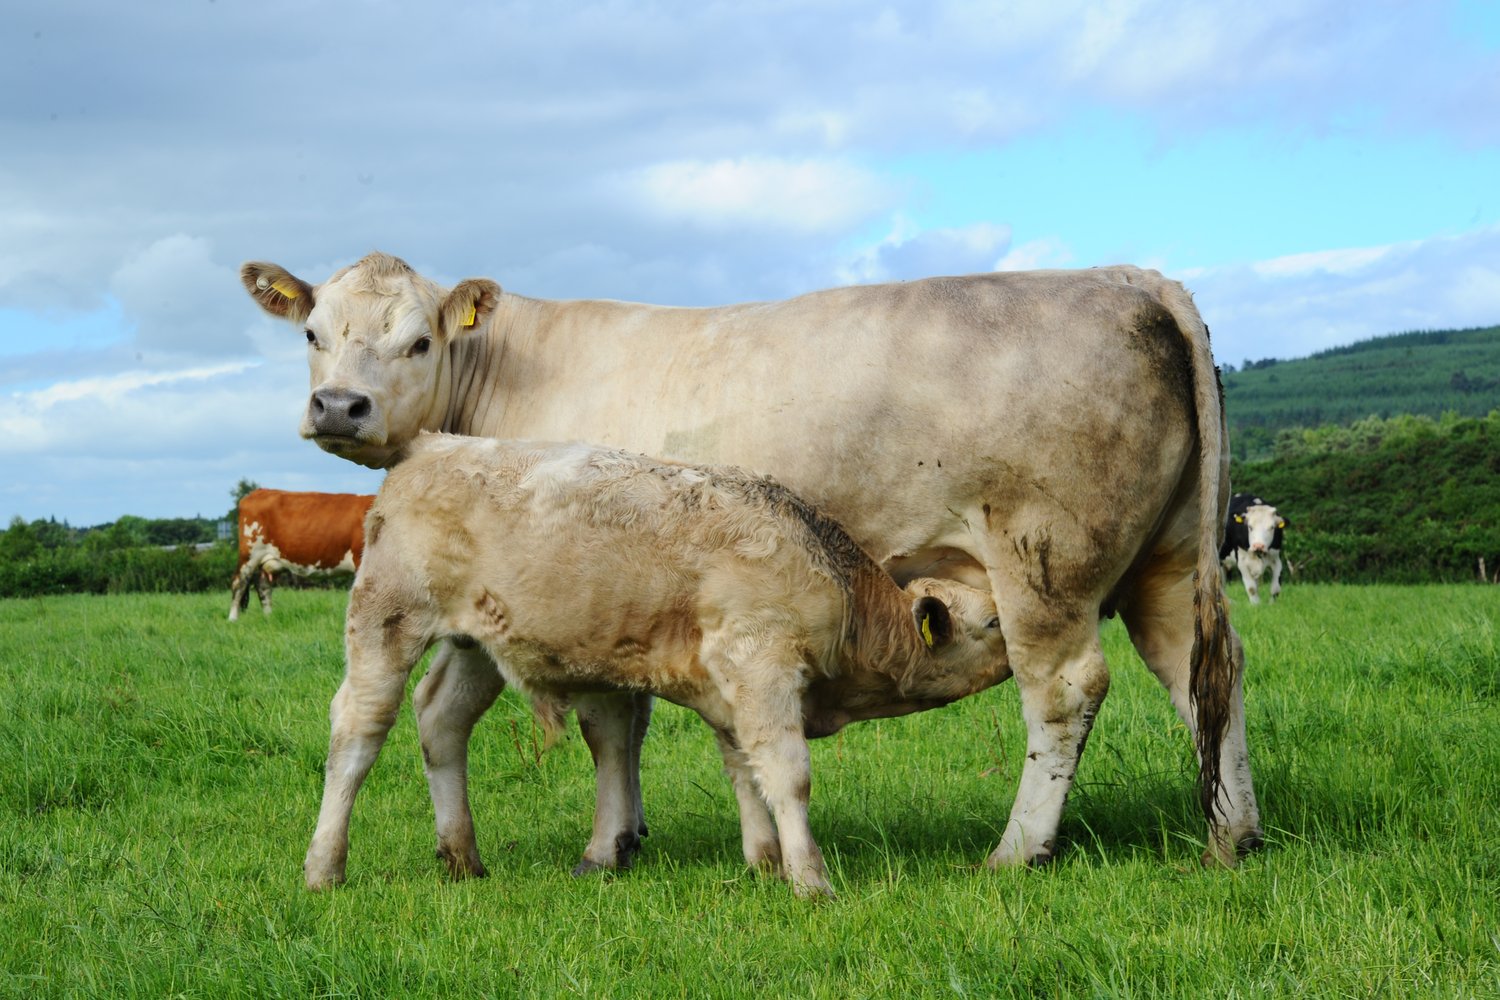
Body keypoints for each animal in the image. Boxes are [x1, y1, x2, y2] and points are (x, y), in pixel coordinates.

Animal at [228, 489, 374, 621]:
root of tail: (259, 491)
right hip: (249, 554)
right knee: (239, 583)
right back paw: (233, 619)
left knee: (263, 586)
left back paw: (268, 617)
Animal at [304, 433, 1012, 895]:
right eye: (994, 624)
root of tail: (430, 446)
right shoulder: (761, 664)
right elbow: (787, 775)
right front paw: (810, 880)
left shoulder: (729, 690)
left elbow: (743, 769)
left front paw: (763, 862)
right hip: (387, 618)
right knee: (358, 729)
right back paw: (324, 867)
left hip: (471, 644)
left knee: (442, 721)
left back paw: (462, 857)